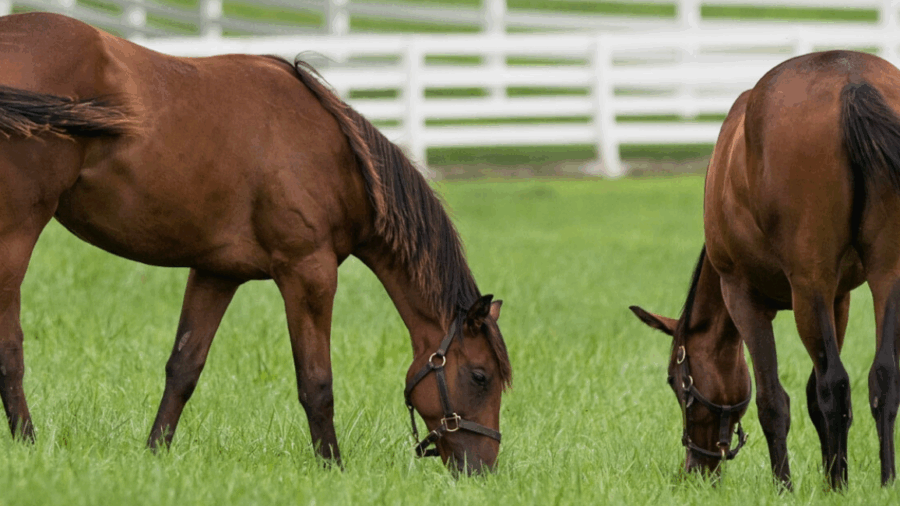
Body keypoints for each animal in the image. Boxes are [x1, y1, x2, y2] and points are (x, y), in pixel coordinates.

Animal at [0, 12, 511, 474]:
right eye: (480, 376)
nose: (483, 470)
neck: (338, 157)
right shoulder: (309, 274)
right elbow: (317, 383)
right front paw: (333, 468)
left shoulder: (216, 273)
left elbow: (183, 369)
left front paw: (154, 456)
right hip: (16, 236)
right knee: (10, 349)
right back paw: (28, 443)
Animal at [631, 49, 900, 489]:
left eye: (675, 381)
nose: (696, 468)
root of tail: (851, 79)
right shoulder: (839, 298)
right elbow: (812, 395)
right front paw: (832, 478)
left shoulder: (742, 296)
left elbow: (774, 399)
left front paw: (787, 486)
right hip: (885, 274)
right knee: (883, 376)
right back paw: (886, 481)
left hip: (808, 286)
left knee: (835, 383)